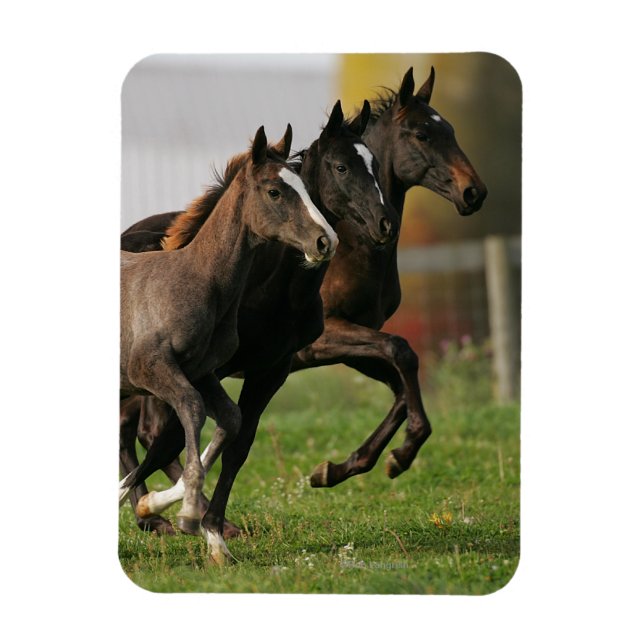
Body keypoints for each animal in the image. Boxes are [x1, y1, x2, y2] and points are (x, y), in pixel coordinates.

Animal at [119, 101, 399, 558]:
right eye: (341, 167)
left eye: (375, 163)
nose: (384, 224)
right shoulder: (196, 371)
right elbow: (176, 436)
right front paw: (183, 514)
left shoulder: (271, 369)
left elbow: (236, 440)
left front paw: (208, 528)